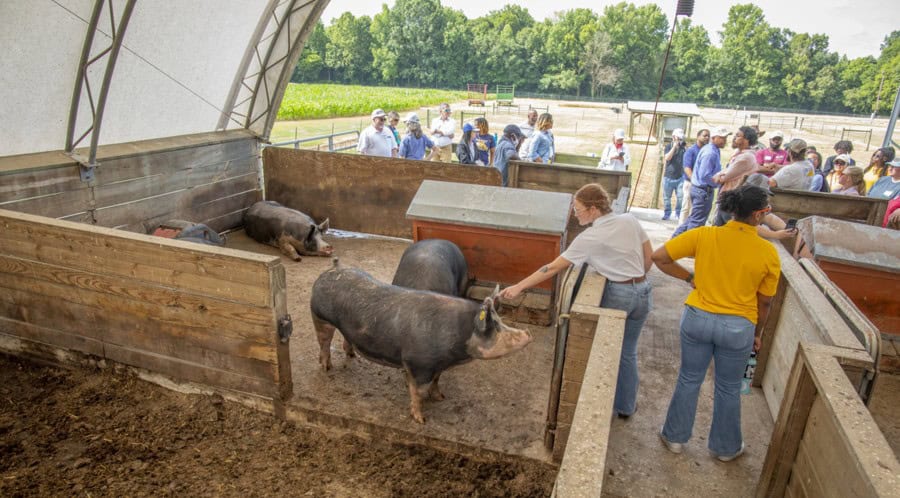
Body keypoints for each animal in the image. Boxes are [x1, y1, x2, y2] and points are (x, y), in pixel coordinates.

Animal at [310, 260, 532, 424]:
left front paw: (441, 397)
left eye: (500, 321)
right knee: (323, 343)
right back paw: (327, 368)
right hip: (320, 317)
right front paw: (421, 419)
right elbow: (418, 391)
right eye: (496, 326)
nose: (528, 333)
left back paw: (350, 356)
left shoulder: (438, 365)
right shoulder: (418, 363)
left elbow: (436, 381)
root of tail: (330, 269)